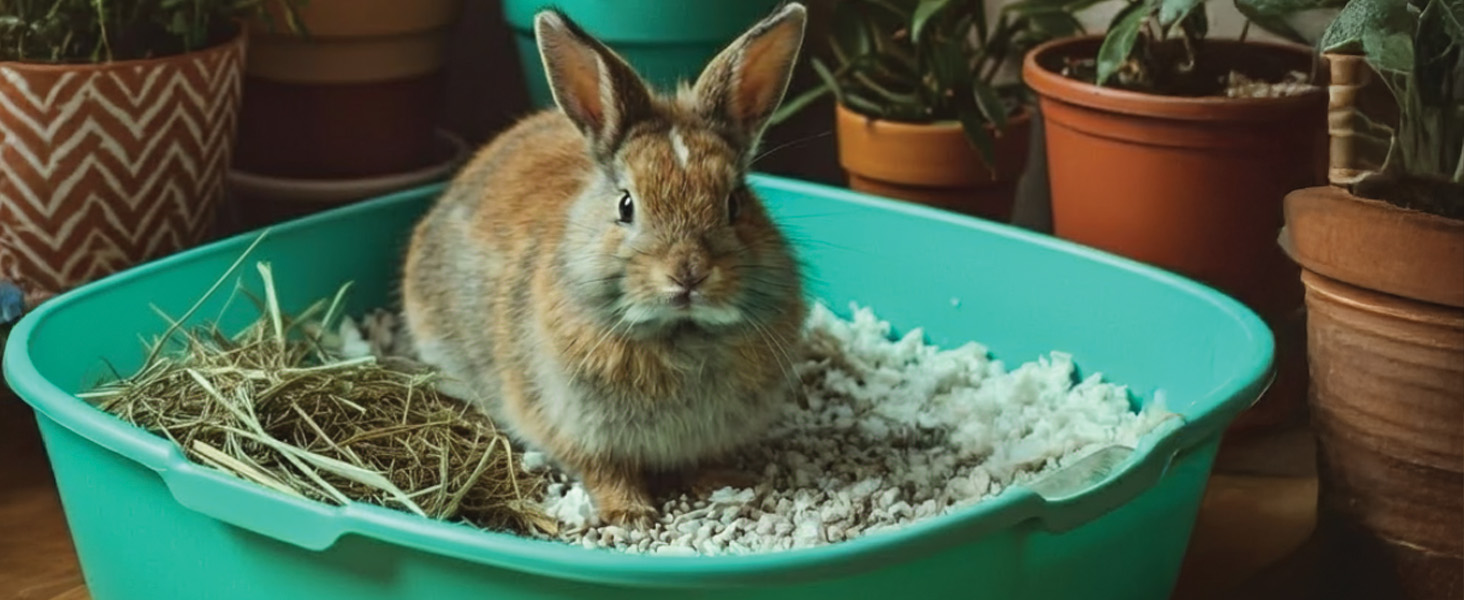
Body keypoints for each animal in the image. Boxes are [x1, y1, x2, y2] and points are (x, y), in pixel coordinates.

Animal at [400, 2, 810, 527]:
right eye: (626, 205)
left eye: (735, 203)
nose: (688, 272)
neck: (679, 333)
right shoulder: (577, 427)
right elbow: (606, 471)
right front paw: (631, 514)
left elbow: (704, 461)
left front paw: (725, 484)